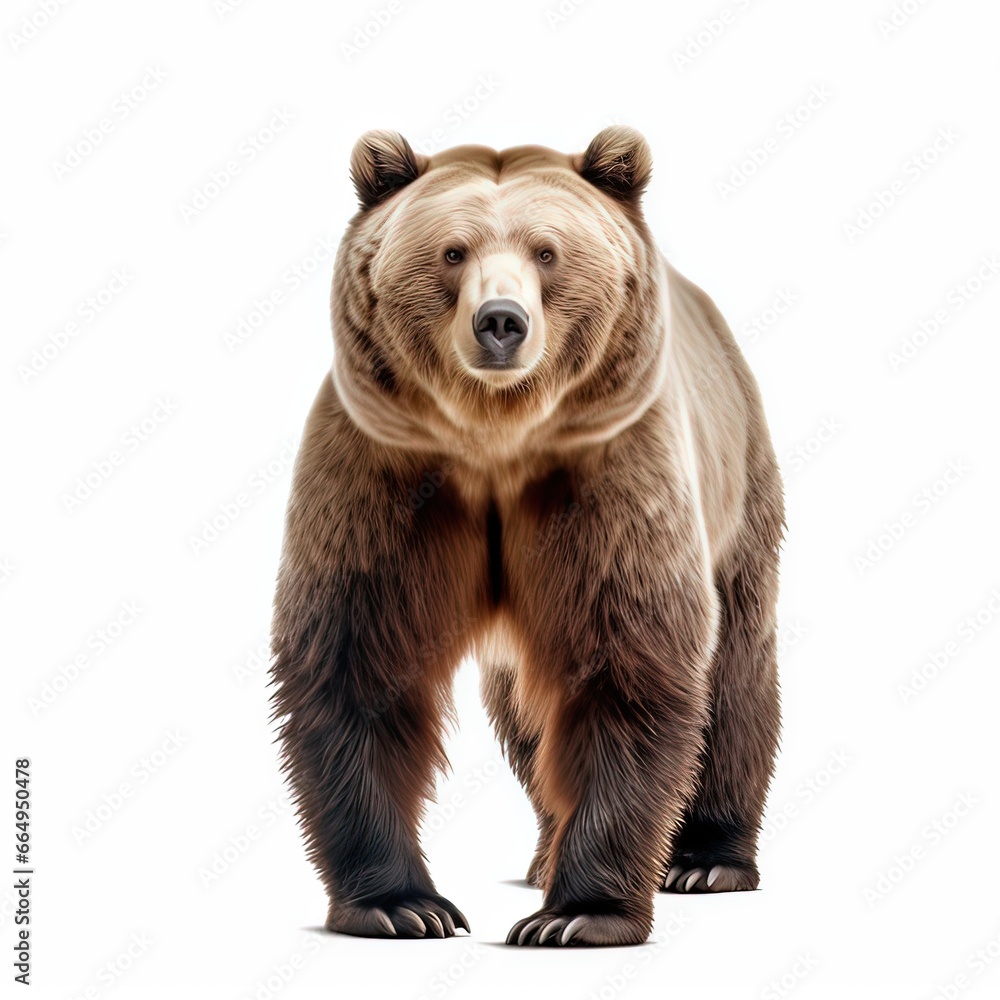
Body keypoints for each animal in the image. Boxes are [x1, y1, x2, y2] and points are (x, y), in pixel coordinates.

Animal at [269, 126, 784, 947]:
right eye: (452, 252)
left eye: (548, 251)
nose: (501, 321)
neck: (496, 437)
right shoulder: (386, 470)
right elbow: (356, 659)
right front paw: (402, 905)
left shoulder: (608, 473)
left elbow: (628, 664)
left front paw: (577, 914)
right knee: (526, 717)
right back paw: (546, 853)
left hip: (737, 490)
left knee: (736, 674)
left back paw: (707, 859)